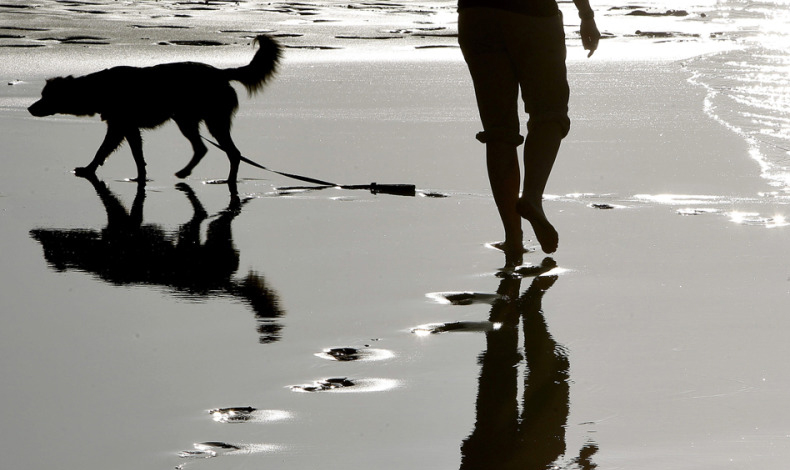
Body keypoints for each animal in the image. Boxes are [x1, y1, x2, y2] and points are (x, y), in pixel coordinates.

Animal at [28, 34, 282, 193]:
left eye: (46, 96)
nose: (30, 108)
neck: (98, 89)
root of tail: (221, 72)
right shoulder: (128, 128)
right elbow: (137, 156)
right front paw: (140, 177)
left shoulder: (120, 126)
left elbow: (102, 150)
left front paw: (88, 170)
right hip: (187, 120)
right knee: (203, 148)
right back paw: (186, 173)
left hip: (210, 121)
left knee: (233, 153)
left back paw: (226, 181)